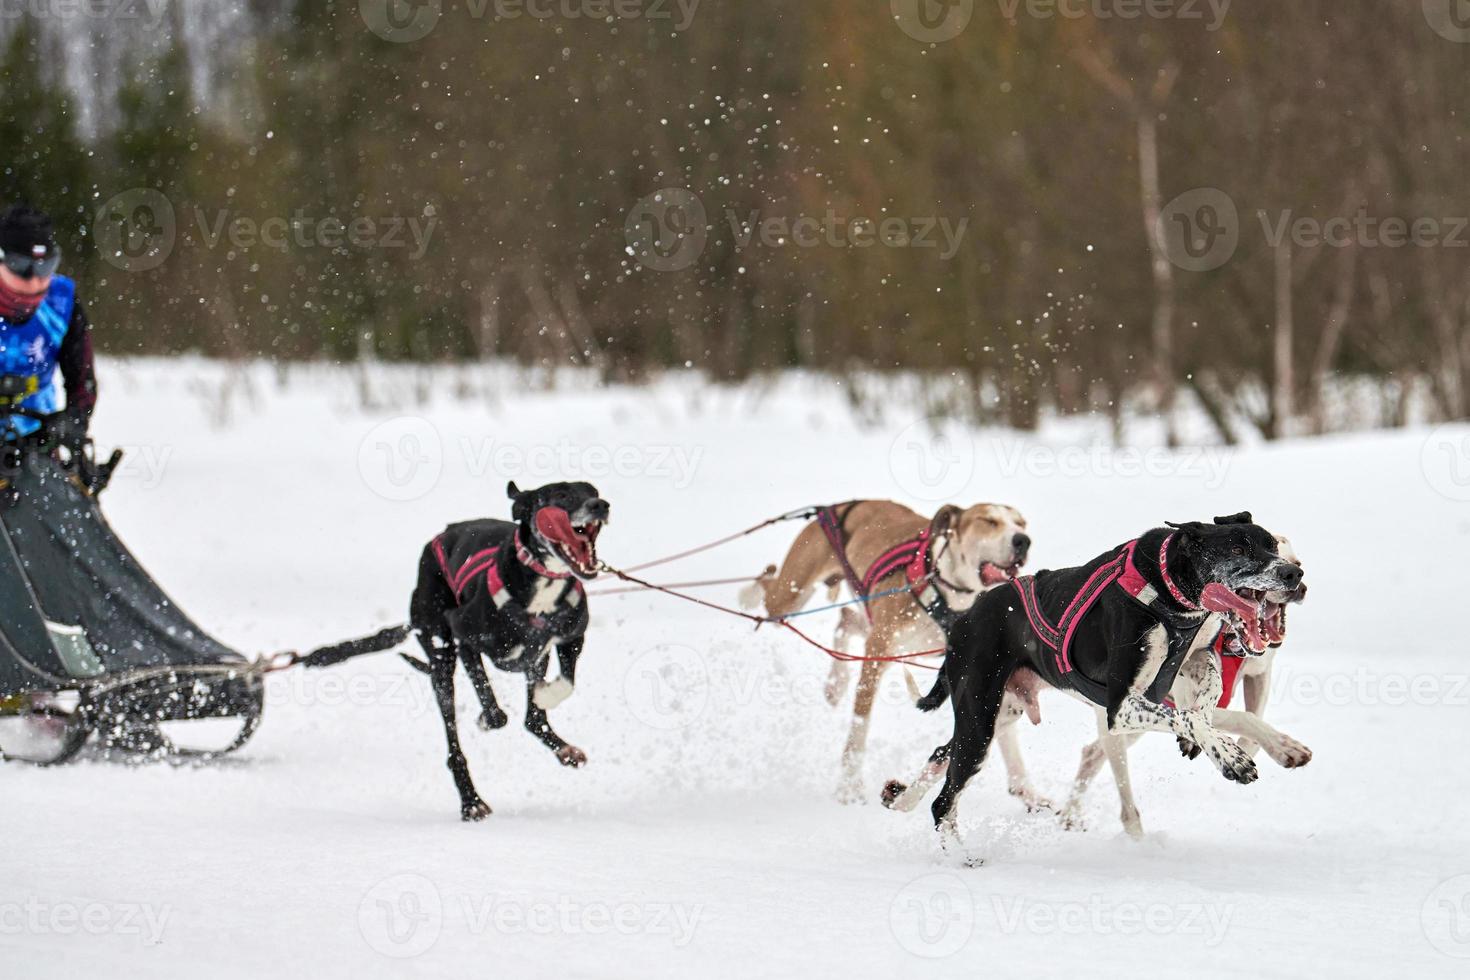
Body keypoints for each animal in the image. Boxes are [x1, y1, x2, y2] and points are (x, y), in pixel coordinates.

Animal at [746, 505, 1034, 805]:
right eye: (988, 521)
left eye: (1021, 523)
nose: (1022, 540)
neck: (947, 592)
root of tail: (839, 505)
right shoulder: (876, 655)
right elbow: (859, 729)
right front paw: (849, 787)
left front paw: (1027, 790)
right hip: (788, 598)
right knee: (768, 587)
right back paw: (749, 595)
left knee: (846, 619)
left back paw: (836, 683)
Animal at [882, 517, 1311, 846]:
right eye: (1238, 549)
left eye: (1272, 546)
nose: (1294, 575)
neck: (1167, 589)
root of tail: (964, 619)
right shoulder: (1121, 705)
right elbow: (1193, 715)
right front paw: (1230, 757)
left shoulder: (1193, 663)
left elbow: (1207, 704)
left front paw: (1241, 746)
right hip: (980, 720)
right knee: (944, 800)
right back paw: (961, 857)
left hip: (999, 713)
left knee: (942, 754)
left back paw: (903, 800)